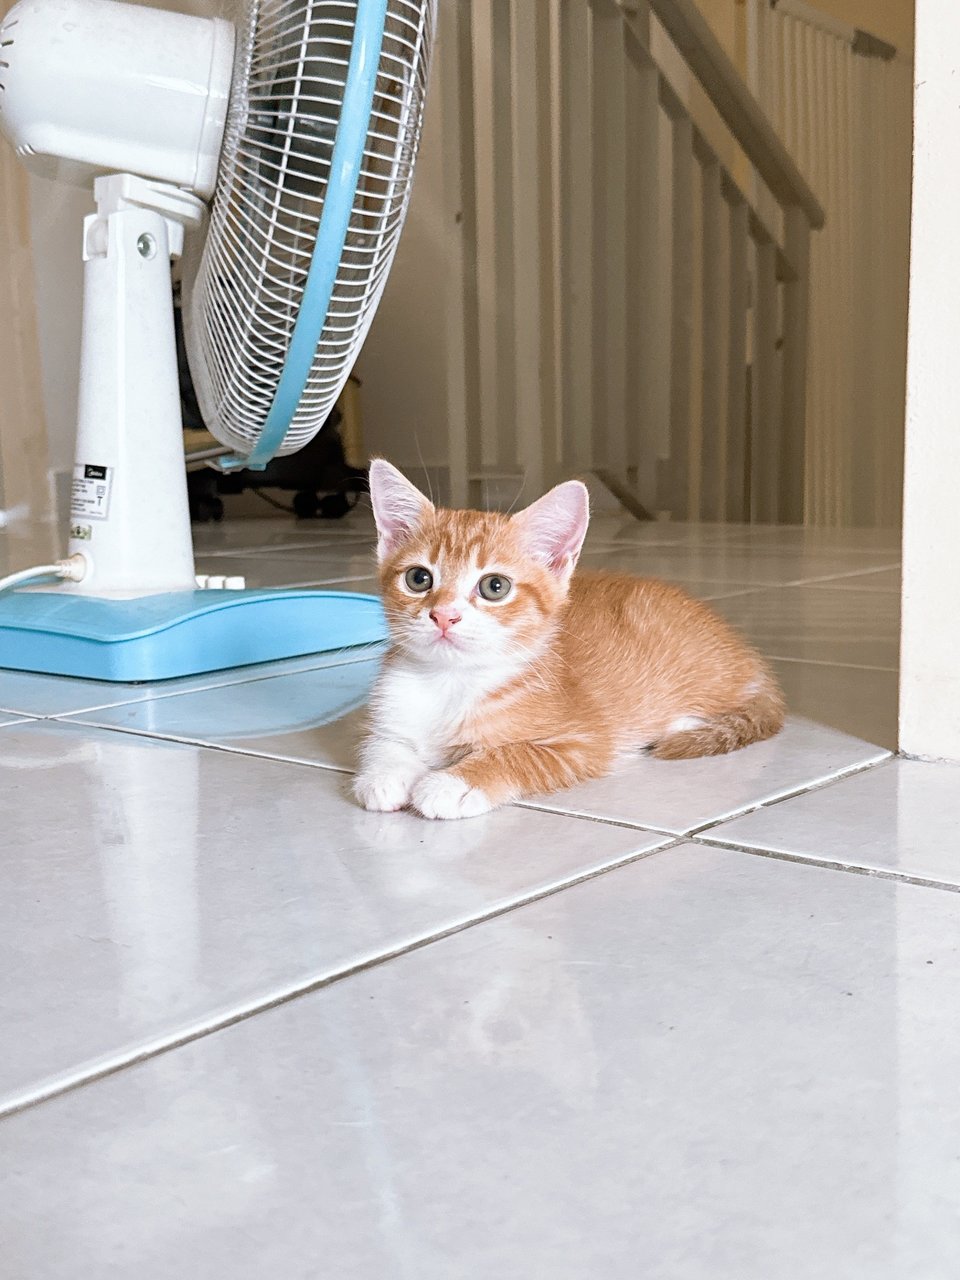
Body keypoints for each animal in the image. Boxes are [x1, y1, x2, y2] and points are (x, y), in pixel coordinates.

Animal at [358, 460, 783, 819]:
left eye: (495, 586)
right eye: (418, 578)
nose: (444, 615)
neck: (450, 681)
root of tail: (748, 654)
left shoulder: (583, 743)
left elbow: (517, 754)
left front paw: (451, 783)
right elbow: (385, 742)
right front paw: (383, 774)